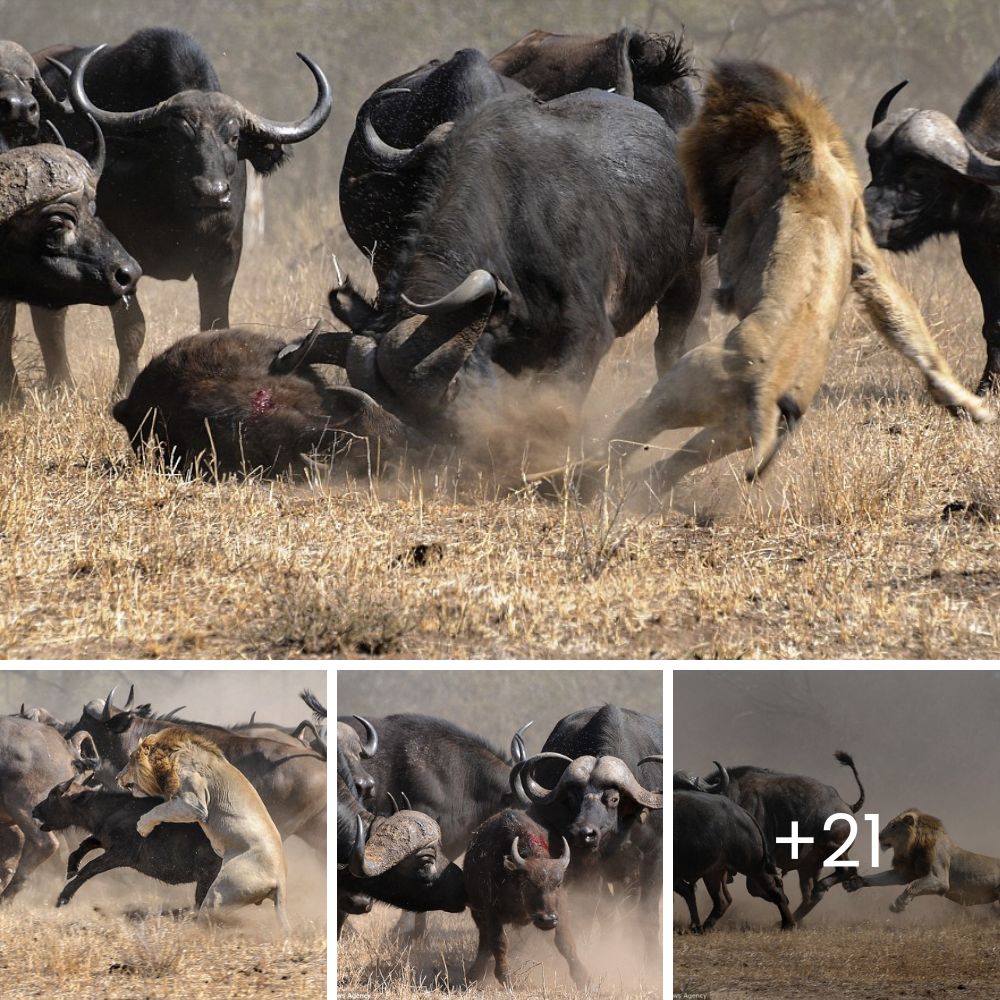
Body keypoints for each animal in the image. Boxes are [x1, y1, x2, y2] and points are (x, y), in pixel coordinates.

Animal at [28, 27, 328, 396]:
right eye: (177, 135)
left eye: (233, 137)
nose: (212, 192)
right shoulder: (118, 261)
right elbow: (131, 328)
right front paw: (124, 386)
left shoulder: (225, 256)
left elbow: (215, 323)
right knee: (49, 318)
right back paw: (62, 384)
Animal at [118, 728, 290, 928]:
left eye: (131, 759)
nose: (117, 778)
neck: (171, 756)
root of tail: (281, 880)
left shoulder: (194, 804)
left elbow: (160, 809)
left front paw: (142, 826)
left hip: (222, 890)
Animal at [844, 804, 1000, 916]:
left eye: (893, 826)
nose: (879, 836)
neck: (912, 846)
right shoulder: (904, 873)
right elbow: (880, 878)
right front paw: (854, 882)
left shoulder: (940, 880)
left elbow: (913, 885)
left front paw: (898, 905)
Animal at [864, 59, 1000, 398]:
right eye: (876, 165)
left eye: (919, 175)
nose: (863, 218)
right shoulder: (977, 251)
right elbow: (993, 324)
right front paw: (987, 387)